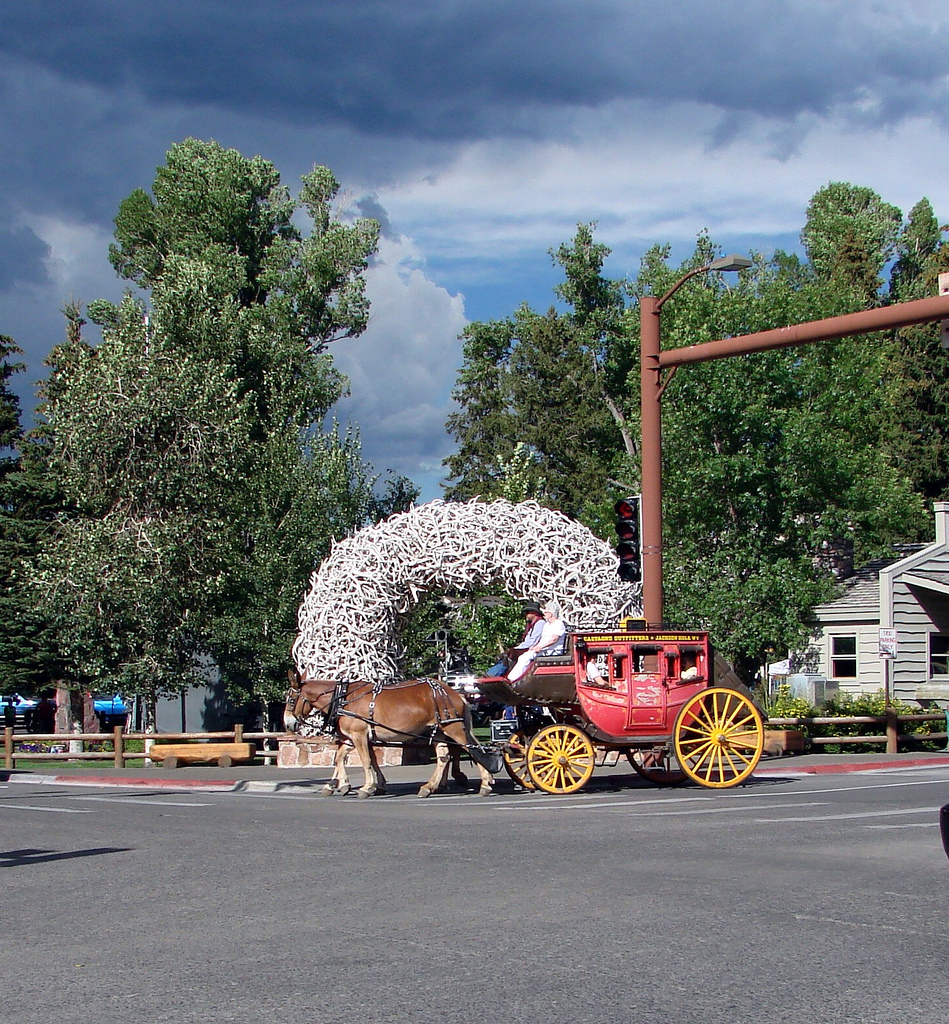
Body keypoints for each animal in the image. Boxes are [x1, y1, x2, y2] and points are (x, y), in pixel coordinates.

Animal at [284, 671, 497, 798]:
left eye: (291, 699)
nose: (288, 723)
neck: (343, 699)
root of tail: (453, 693)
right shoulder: (353, 737)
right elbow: (341, 758)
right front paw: (339, 784)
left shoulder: (359, 734)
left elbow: (365, 760)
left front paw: (366, 787)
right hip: (438, 731)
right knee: (444, 757)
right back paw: (429, 787)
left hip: (453, 728)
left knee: (474, 750)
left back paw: (485, 784)